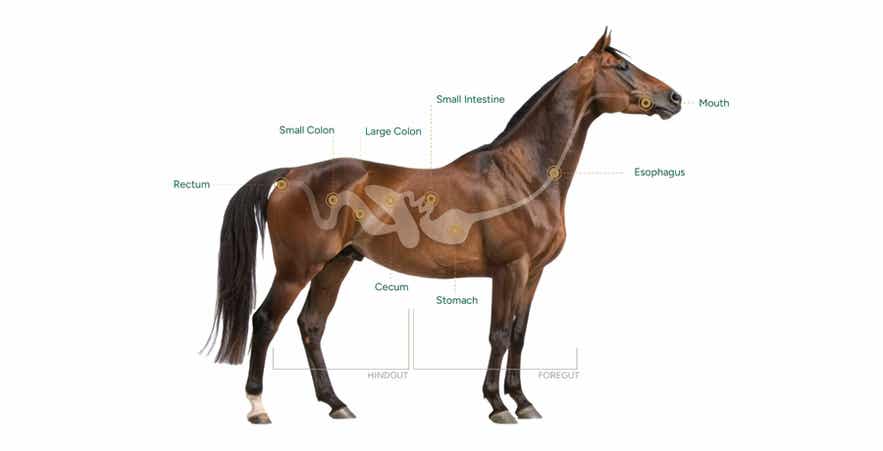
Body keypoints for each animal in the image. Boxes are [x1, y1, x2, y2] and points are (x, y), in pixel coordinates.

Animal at [203, 29, 681, 424]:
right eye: (622, 67)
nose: (674, 98)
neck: (523, 176)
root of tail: (290, 174)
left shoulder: (534, 273)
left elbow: (520, 334)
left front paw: (523, 402)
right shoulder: (510, 269)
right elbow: (499, 334)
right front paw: (497, 405)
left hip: (337, 264)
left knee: (311, 326)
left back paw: (336, 403)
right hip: (297, 269)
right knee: (266, 320)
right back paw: (258, 407)